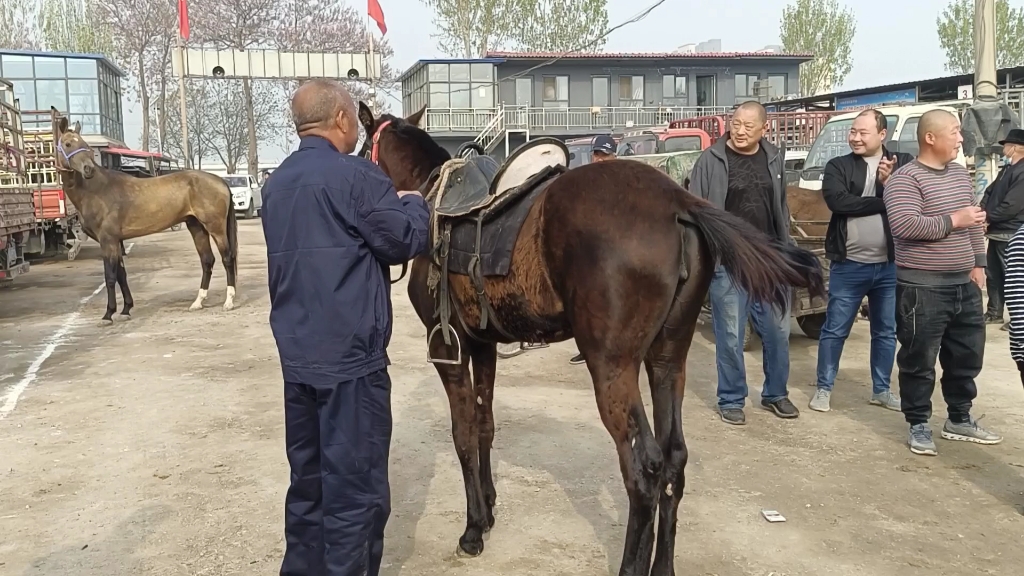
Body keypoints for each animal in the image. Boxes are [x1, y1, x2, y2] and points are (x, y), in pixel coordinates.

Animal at [52, 113, 238, 317]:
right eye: (68, 144)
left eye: (85, 144)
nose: (88, 169)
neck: (96, 190)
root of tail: (220, 180)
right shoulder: (115, 241)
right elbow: (121, 275)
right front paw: (126, 308)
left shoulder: (107, 240)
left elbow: (110, 276)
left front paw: (109, 313)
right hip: (196, 227)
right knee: (207, 260)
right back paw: (198, 302)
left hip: (216, 228)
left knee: (227, 258)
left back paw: (228, 302)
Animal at [360, 103, 823, 573]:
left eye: (363, 148)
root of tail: (680, 203)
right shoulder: (482, 345)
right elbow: (485, 424)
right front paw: (487, 510)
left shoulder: (446, 349)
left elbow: (464, 433)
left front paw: (473, 529)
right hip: (667, 359)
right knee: (674, 459)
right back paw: (663, 565)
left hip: (612, 367)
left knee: (645, 469)